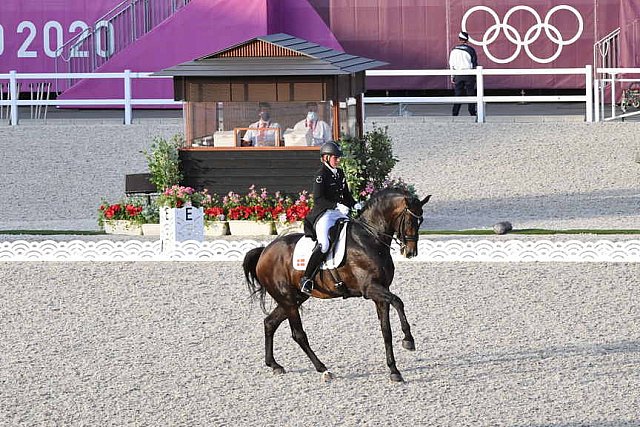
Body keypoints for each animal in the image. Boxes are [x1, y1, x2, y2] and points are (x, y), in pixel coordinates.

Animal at [242, 189, 432, 382]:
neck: (370, 239)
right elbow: (398, 302)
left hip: (295, 298)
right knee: (298, 334)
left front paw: (394, 370)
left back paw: (274, 365)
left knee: (270, 323)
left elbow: (386, 331)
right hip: (288, 300)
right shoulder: (370, 289)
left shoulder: (381, 293)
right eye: (409, 220)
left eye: (421, 221)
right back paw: (323, 369)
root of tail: (264, 251)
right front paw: (408, 340)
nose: (411, 252)